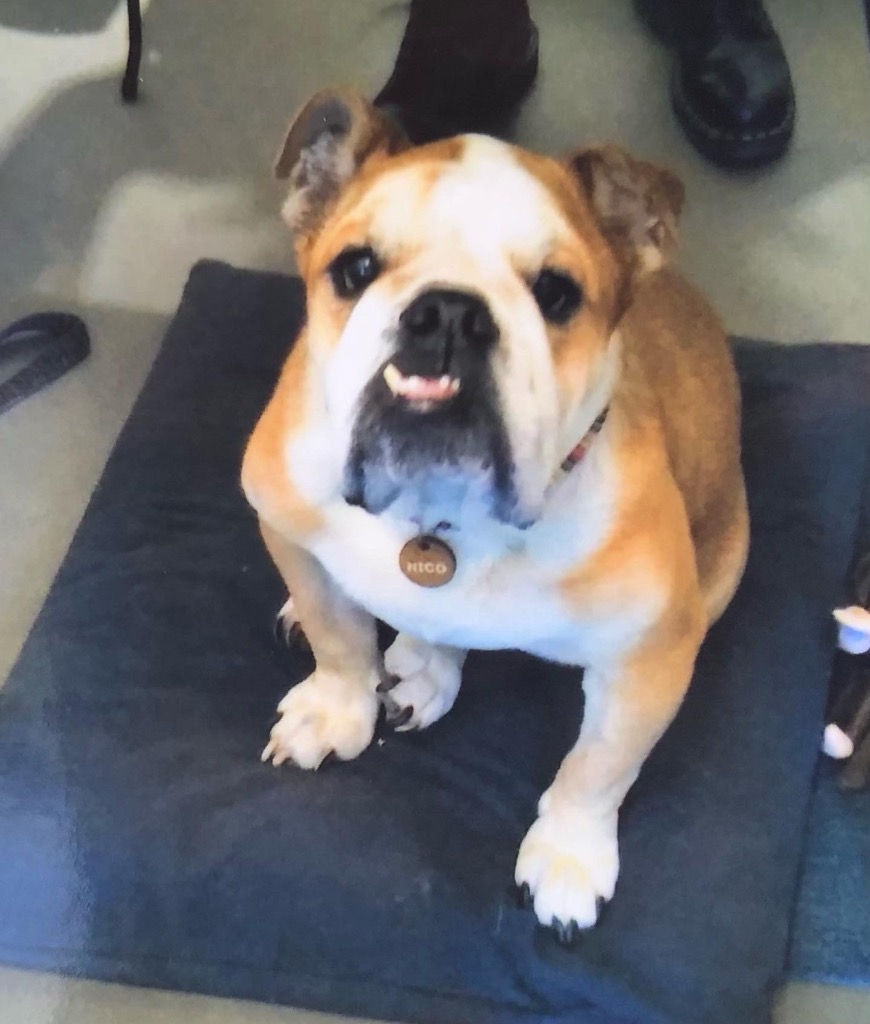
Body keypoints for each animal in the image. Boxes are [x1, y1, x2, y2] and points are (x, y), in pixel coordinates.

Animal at [241, 88, 749, 940]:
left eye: (557, 294)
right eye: (355, 269)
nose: (447, 313)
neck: (439, 514)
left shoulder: (650, 655)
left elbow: (598, 765)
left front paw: (570, 854)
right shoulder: (285, 521)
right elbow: (338, 637)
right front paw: (337, 706)